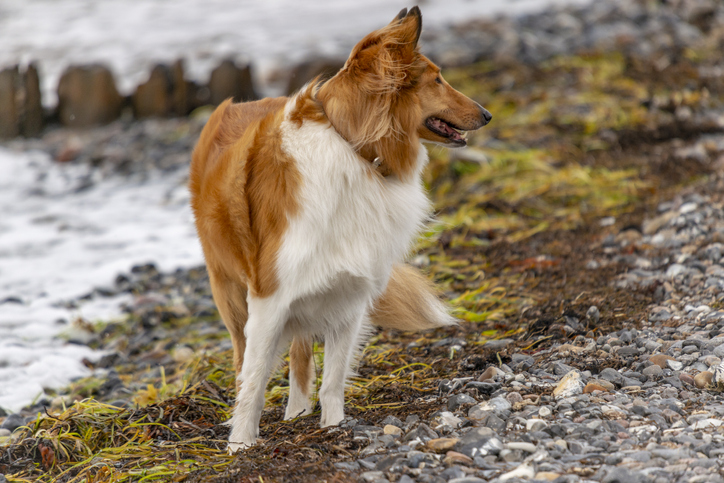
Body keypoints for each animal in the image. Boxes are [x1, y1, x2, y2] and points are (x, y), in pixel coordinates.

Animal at [188, 6, 492, 454]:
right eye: (437, 79)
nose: (487, 114)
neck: (355, 149)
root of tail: (232, 105)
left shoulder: (349, 294)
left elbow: (332, 379)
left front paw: (333, 428)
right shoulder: (268, 296)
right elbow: (255, 380)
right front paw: (241, 444)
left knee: (300, 354)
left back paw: (298, 411)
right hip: (228, 290)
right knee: (245, 360)